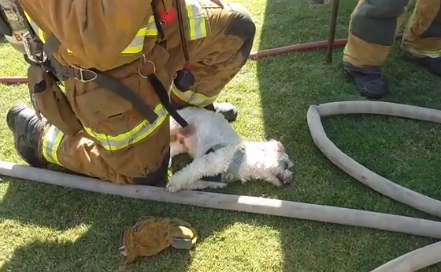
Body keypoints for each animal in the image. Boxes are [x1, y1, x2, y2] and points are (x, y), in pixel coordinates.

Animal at [163, 106, 294, 193]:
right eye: (286, 166)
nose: (290, 180)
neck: (244, 161)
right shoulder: (208, 161)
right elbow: (187, 173)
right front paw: (174, 182)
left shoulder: (210, 181)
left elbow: (191, 181)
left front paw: (174, 186)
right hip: (175, 126)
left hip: (181, 144)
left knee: (171, 148)